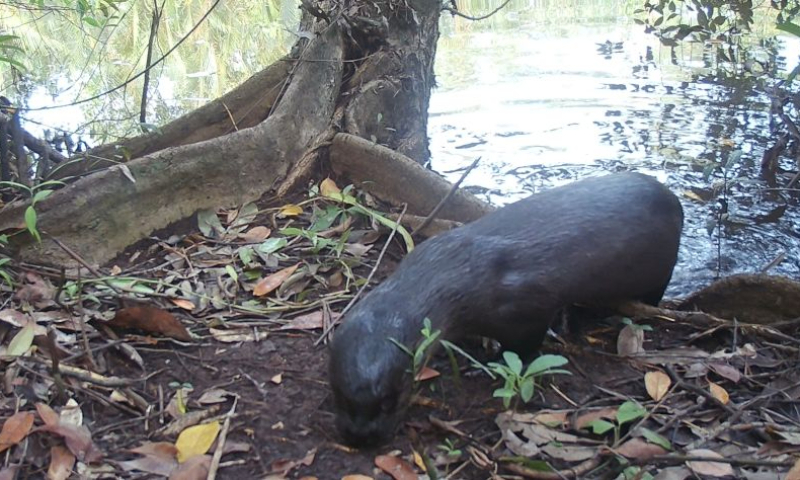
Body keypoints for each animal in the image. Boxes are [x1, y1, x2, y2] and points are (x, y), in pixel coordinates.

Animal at [328, 172, 683, 446]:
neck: (458, 269)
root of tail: (673, 198)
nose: (361, 436)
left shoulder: (528, 308)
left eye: (390, 400)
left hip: (660, 271)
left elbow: (524, 349)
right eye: (340, 396)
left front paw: (487, 363)